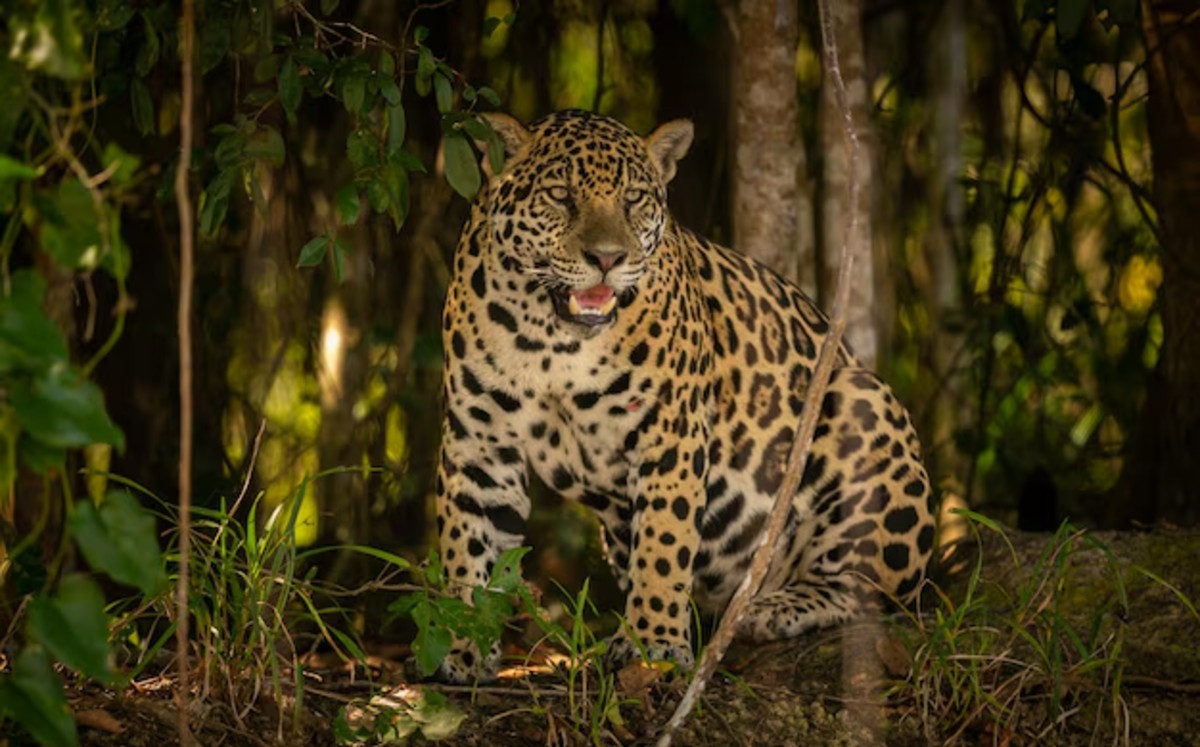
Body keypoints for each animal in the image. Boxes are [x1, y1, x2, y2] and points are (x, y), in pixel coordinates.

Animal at [434, 109, 936, 682]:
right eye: (560, 195)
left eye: (633, 199)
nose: (607, 258)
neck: (551, 340)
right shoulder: (479, 444)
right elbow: (467, 546)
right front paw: (464, 644)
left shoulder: (668, 431)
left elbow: (664, 543)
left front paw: (652, 643)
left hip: (861, 401)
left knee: (872, 589)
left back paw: (772, 607)